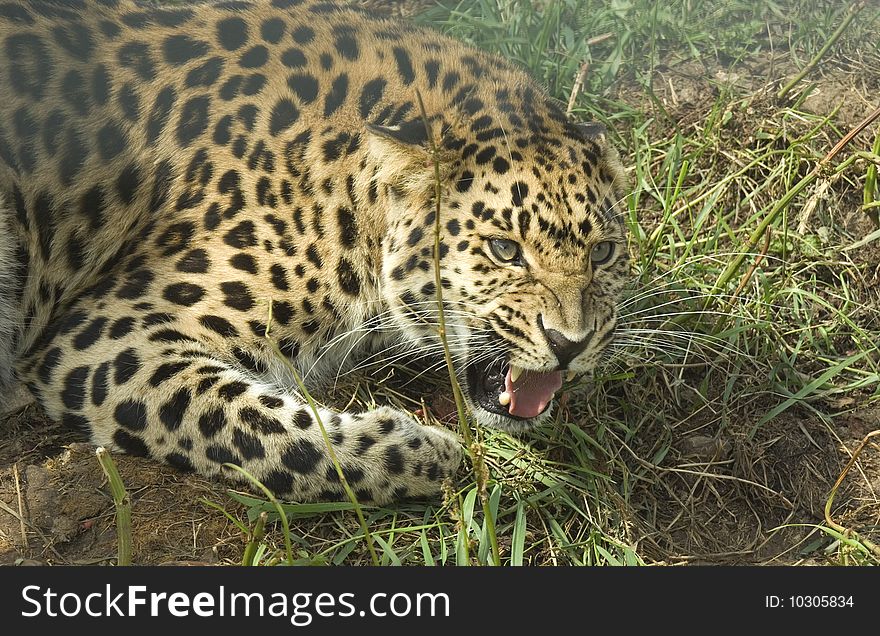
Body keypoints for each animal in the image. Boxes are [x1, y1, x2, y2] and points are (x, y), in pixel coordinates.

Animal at [1, 1, 632, 506]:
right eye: (504, 250)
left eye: (603, 254)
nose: (570, 344)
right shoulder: (109, 333)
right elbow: (255, 425)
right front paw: (423, 451)